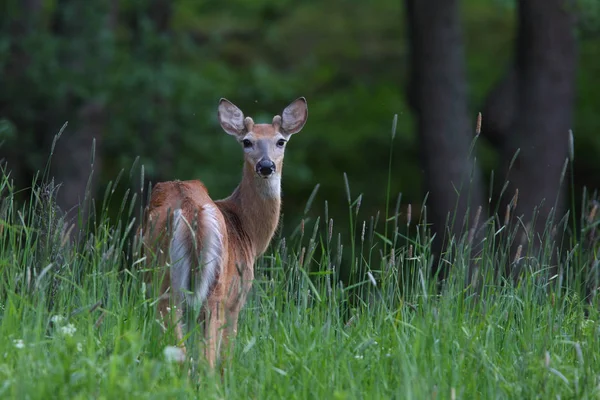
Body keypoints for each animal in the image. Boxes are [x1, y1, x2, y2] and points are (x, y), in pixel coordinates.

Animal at [140, 97, 308, 372]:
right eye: (247, 141)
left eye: (280, 141)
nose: (266, 166)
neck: (248, 231)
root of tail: (190, 208)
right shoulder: (238, 295)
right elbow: (226, 354)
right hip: (212, 287)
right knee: (206, 355)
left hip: (161, 277)